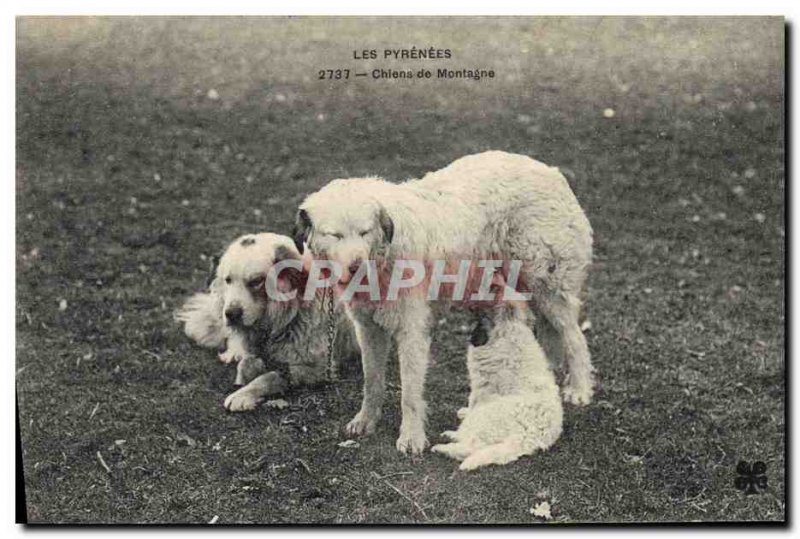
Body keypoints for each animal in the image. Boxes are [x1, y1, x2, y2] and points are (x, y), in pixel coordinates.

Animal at [180, 230, 360, 412]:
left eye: (256, 281)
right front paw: (243, 376)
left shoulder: (316, 367)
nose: (231, 314)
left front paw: (242, 395)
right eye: (228, 280)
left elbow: (270, 377)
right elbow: (246, 363)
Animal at [294, 150, 592, 454]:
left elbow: (409, 392)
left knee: (574, 337)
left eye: (365, 232)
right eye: (335, 235)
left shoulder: (412, 330)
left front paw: (411, 437)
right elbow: (372, 380)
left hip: (548, 285)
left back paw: (579, 389)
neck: (384, 256)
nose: (356, 266)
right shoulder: (368, 328)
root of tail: (549, 170)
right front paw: (366, 420)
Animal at [432, 308, 564, 472]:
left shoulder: (482, 386)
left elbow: (472, 401)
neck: (509, 329)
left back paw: (445, 445)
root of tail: (530, 435)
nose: (472, 337)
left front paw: (465, 412)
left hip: (485, 418)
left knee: (471, 445)